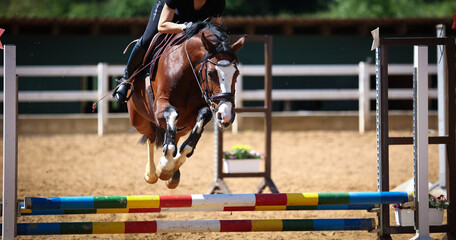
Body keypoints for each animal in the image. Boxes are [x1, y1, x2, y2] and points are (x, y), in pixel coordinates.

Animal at [124, 21, 246, 188]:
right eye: (210, 73)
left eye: (236, 74)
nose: (225, 116)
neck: (188, 70)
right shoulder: (160, 107)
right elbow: (172, 115)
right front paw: (165, 166)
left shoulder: (199, 112)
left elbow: (191, 138)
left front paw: (170, 167)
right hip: (139, 119)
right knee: (151, 135)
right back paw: (151, 174)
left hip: (183, 127)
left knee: (174, 136)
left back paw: (173, 175)